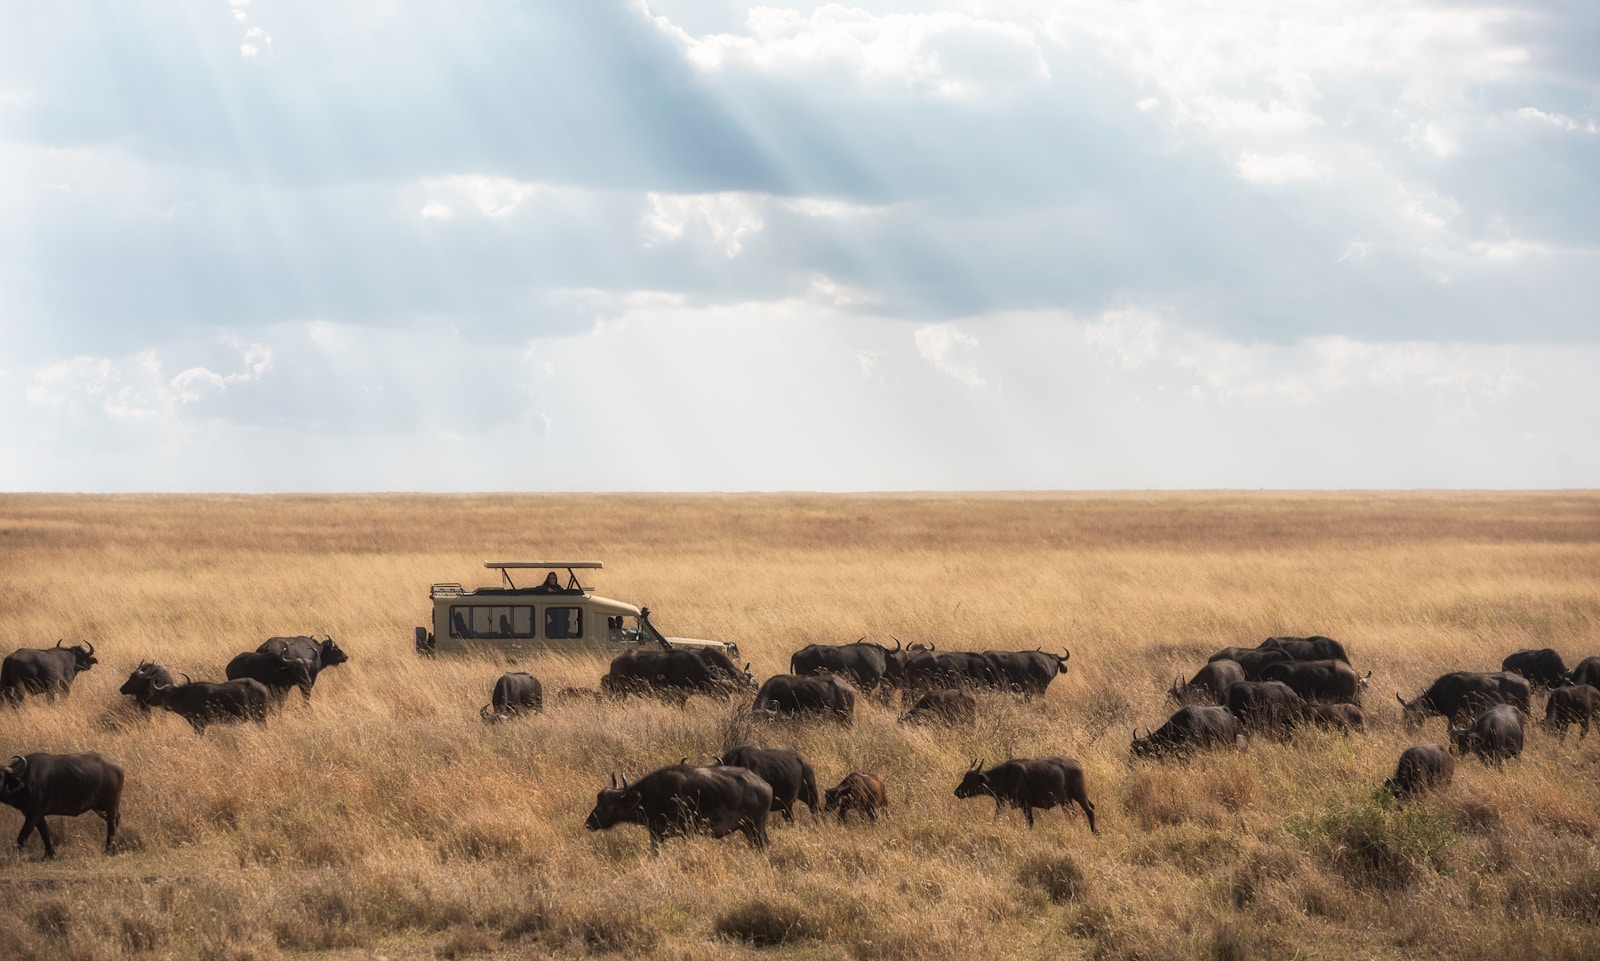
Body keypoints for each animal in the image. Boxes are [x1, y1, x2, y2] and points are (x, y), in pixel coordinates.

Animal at [585, 761, 771, 850]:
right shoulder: (656, 835)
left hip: (755, 828)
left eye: (604, 804)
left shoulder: (687, 832)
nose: (588, 823)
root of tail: (766, 786)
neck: (653, 795)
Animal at [953, 757, 1094, 831]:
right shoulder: (1001, 803)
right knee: (1072, 814)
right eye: (964, 778)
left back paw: (1095, 832)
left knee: (1090, 810)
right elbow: (996, 818)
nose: (957, 792)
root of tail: (1077, 763)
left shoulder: (1026, 805)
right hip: (1066, 800)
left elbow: (1030, 822)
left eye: (970, 780)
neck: (1005, 776)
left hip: (1079, 795)